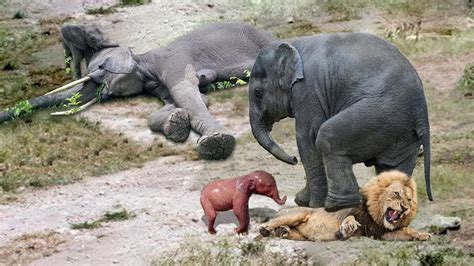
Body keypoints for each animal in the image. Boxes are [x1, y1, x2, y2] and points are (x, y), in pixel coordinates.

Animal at [1, 22, 274, 160]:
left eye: (100, 69)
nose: (102, 93)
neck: (141, 59)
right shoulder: (154, 82)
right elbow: (185, 100)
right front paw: (175, 124)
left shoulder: (172, 61)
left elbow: (188, 94)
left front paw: (217, 144)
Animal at [248, 32, 434, 212]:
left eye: (258, 93)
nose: (293, 159)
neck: (294, 43)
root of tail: (422, 112)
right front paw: (303, 201)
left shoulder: (308, 90)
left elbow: (307, 138)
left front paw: (311, 204)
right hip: (403, 131)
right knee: (392, 167)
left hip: (380, 114)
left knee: (327, 137)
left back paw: (336, 205)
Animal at [258, 170, 432, 241]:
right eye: (396, 193)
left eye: (409, 200)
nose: (405, 208)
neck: (376, 216)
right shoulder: (352, 213)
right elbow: (350, 217)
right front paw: (346, 228)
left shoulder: (380, 233)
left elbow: (407, 231)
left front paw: (422, 235)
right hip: (296, 214)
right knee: (272, 222)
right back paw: (267, 228)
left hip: (302, 235)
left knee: (290, 232)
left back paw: (283, 231)